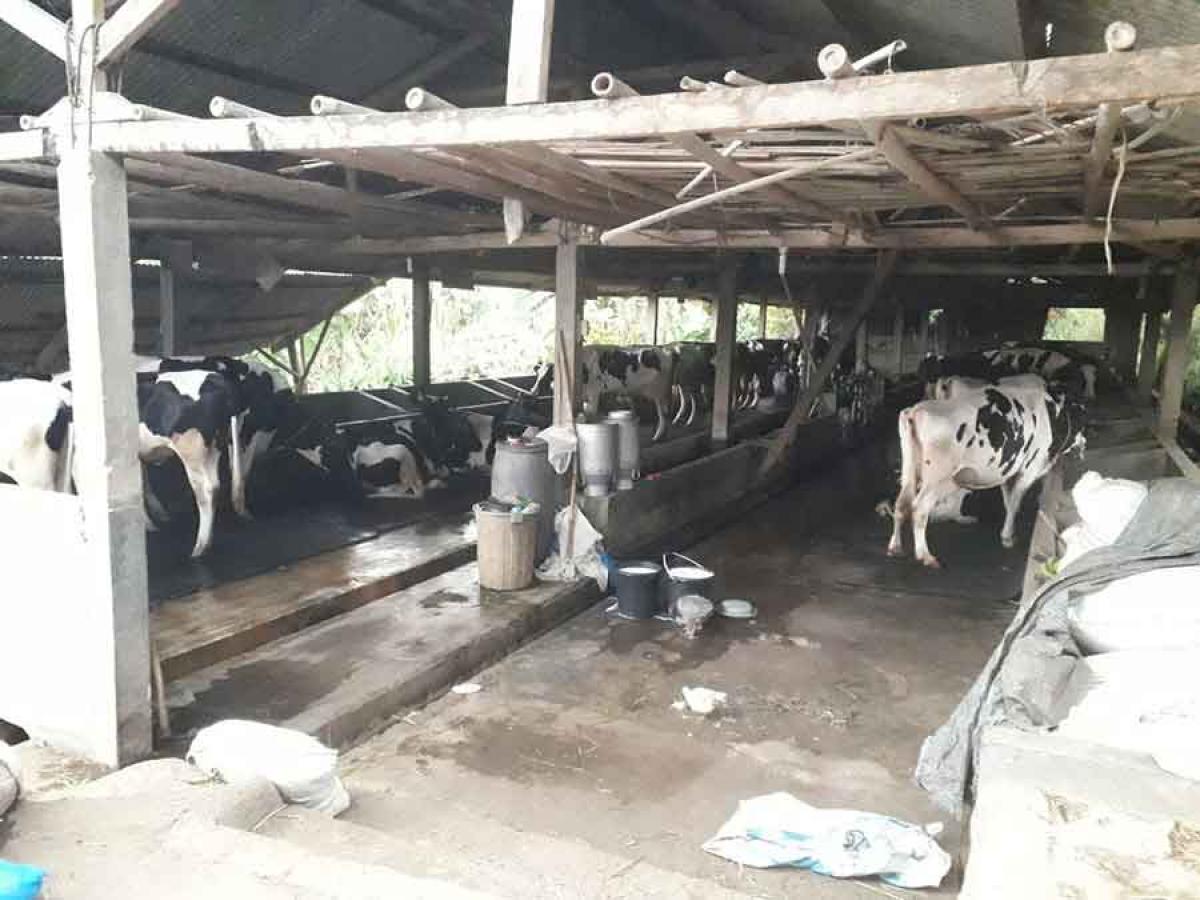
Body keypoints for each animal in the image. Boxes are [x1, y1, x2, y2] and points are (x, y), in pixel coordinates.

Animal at [883, 381, 1089, 571]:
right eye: (1083, 425)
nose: (1084, 445)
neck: (1053, 415)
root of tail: (916, 410)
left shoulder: (1007, 470)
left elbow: (1008, 502)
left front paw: (1008, 533)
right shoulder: (1028, 469)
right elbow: (1015, 503)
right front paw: (1007, 537)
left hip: (909, 470)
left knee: (901, 504)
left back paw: (895, 547)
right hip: (937, 478)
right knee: (919, 508)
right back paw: (925, 555)